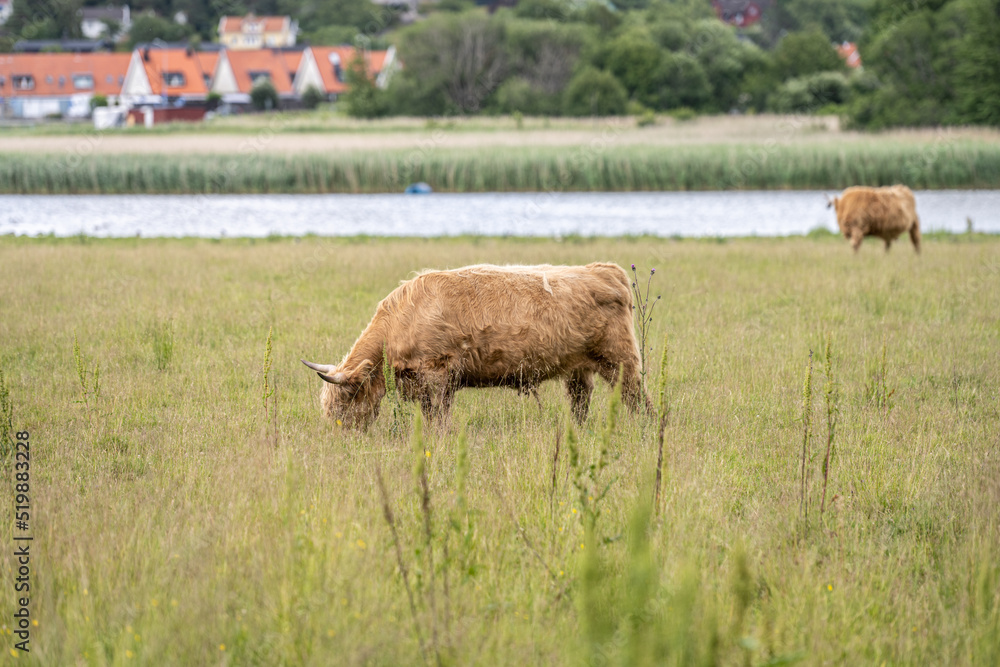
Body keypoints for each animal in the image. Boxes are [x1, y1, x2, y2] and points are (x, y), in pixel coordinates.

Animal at [300, 260, 652, 428]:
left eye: (344, 400)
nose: (340, 435)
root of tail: (605, 270)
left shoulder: (437, 376)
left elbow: (438, 417)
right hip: (579, 368)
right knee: (581, 402)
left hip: (621, 359)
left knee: (638, 399)